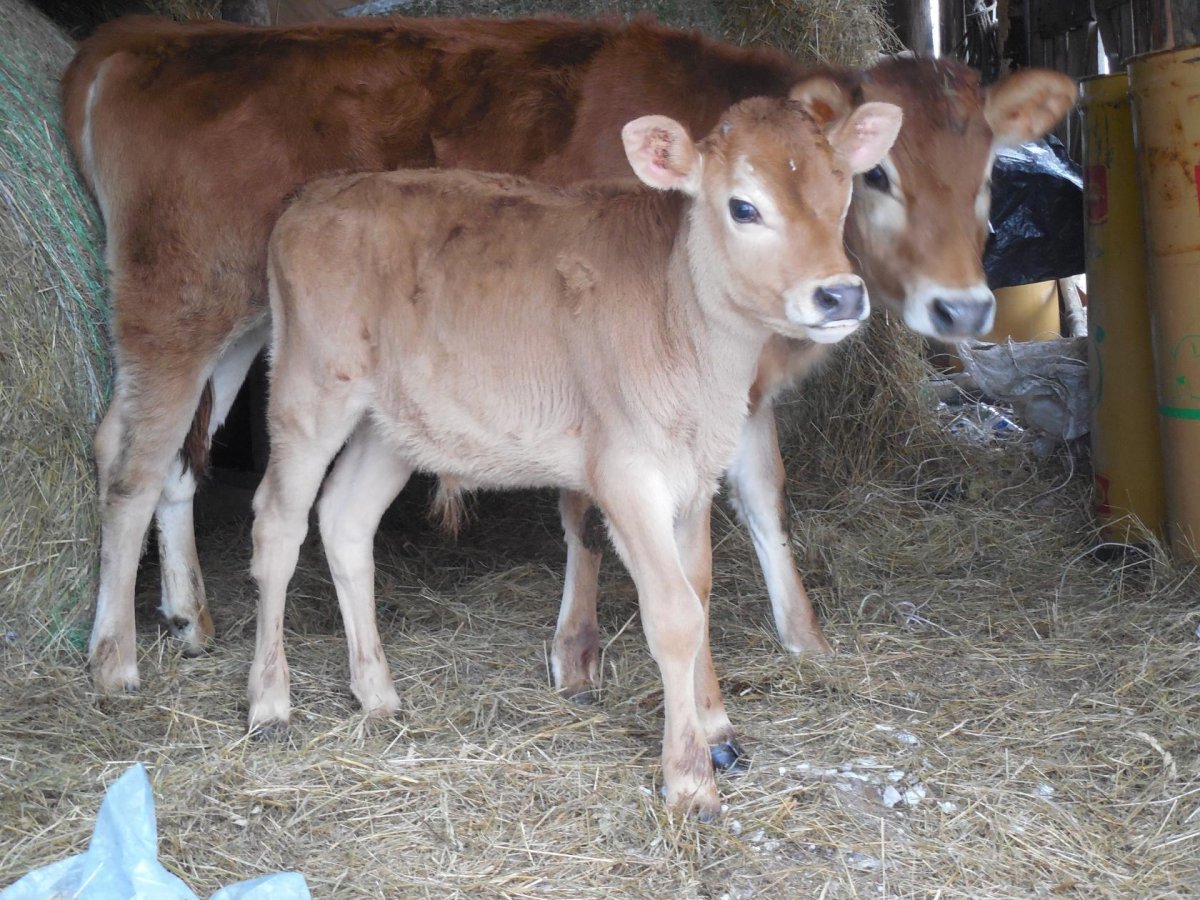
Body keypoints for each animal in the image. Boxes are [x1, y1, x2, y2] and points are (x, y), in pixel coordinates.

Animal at [60, 14, 1076, 695]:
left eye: (990, 169)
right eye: (882, 176)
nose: (963, 305)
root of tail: (141, 40)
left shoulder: (731, 388)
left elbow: (760, 492)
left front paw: (805, 636)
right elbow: (589, 516)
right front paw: (578, 651)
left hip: (241, 328)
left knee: (178, 459)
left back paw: (189, 615)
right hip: (175, 307)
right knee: (130, 458)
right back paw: (114, 657)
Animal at [252, 95, 903, 817]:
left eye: (842, 192)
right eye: (743, 207)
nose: (841, 294)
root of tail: (314, 194)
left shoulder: (696, 474)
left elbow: (700, 592)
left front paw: (717, 731)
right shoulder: (625, 473)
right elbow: (674, 614)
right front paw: (689, 778)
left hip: (392, 424)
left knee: (346, 520)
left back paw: (377, 693)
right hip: (310, 392)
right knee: (278, 525)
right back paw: (270, 703)